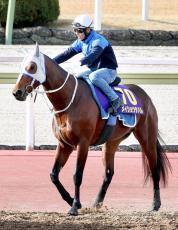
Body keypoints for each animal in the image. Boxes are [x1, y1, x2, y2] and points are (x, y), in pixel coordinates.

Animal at [12, 43, 171, 216]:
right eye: (21, 66)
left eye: (32, 67)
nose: (17, 92)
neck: (70, 99)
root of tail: (146, 96)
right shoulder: (64, 144)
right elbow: (53, 175)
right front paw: (71, 200)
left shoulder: (83, 143)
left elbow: (77, 175)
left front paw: (75, 206)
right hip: (111, 142)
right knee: (108, 173)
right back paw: (97, 202)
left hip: (146, 138)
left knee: (154, 169)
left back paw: (155, 204)